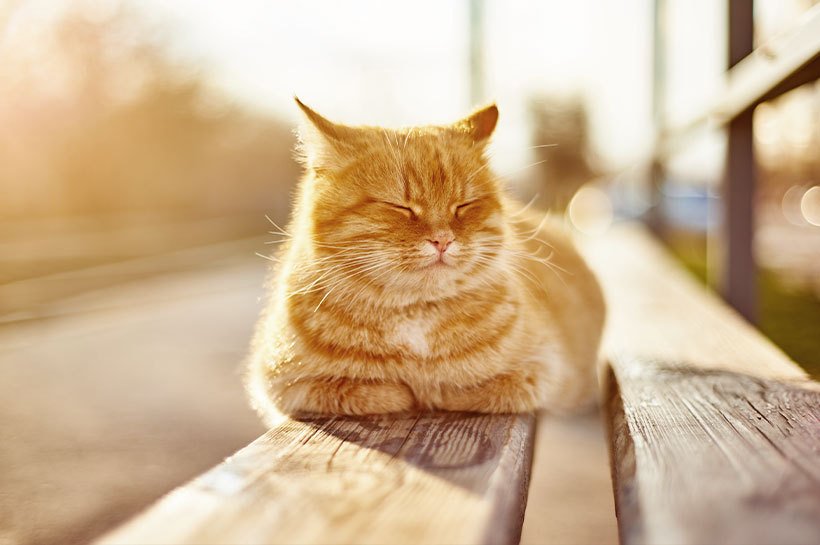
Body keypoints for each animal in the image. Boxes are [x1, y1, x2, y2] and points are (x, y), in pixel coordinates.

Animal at [247, 100, 604, 418]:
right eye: (400, 207)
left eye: (463, 205)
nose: (443, 240)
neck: (415, 314)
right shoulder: (286, 385)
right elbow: (372, 392)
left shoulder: (544, 371)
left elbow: (476, 390)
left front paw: (434, 390)